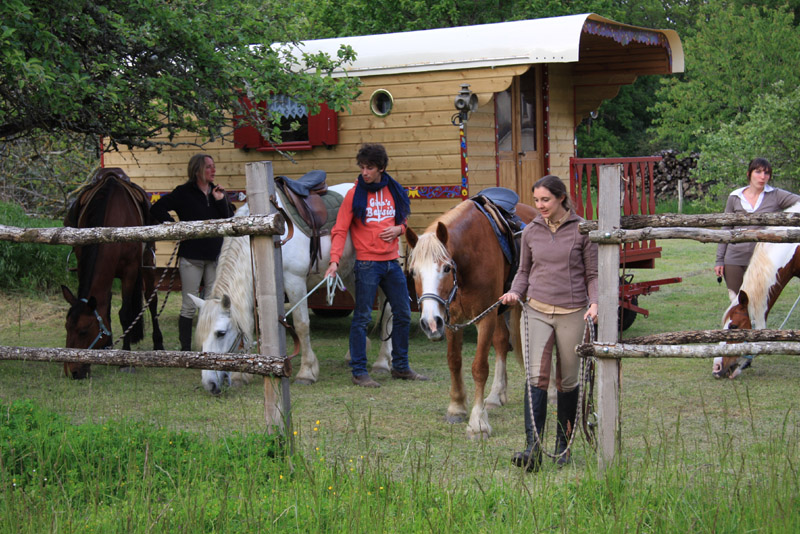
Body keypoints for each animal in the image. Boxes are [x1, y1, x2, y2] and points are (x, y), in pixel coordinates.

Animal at [61, 169, 164, 379]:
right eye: (67, 327)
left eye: (84, 331)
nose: (72, 372)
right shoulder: (83, 263)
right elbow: (105, 309)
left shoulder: (130, 271)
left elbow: (124, 314)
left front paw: (124, 358)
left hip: (147, 265)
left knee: (152, 299)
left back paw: (158, 344)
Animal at [190, 182, 393, 394]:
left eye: (220, 333)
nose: (209, 384)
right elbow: (252, 327)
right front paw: (242, 375)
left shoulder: (295, 282)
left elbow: (302, 325)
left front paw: (307, 372)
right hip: (351, 275)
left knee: (388, 311)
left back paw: (383, 362)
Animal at [406, 196, 537, 439]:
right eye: (412, 272)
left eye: (447, 268)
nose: (429, 323)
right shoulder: (451, 319)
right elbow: (454, 361)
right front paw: (456, 406)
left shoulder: (485, 317)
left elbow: (479, 368)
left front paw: (478, 422)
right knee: (502, 342)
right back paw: (496, 395)